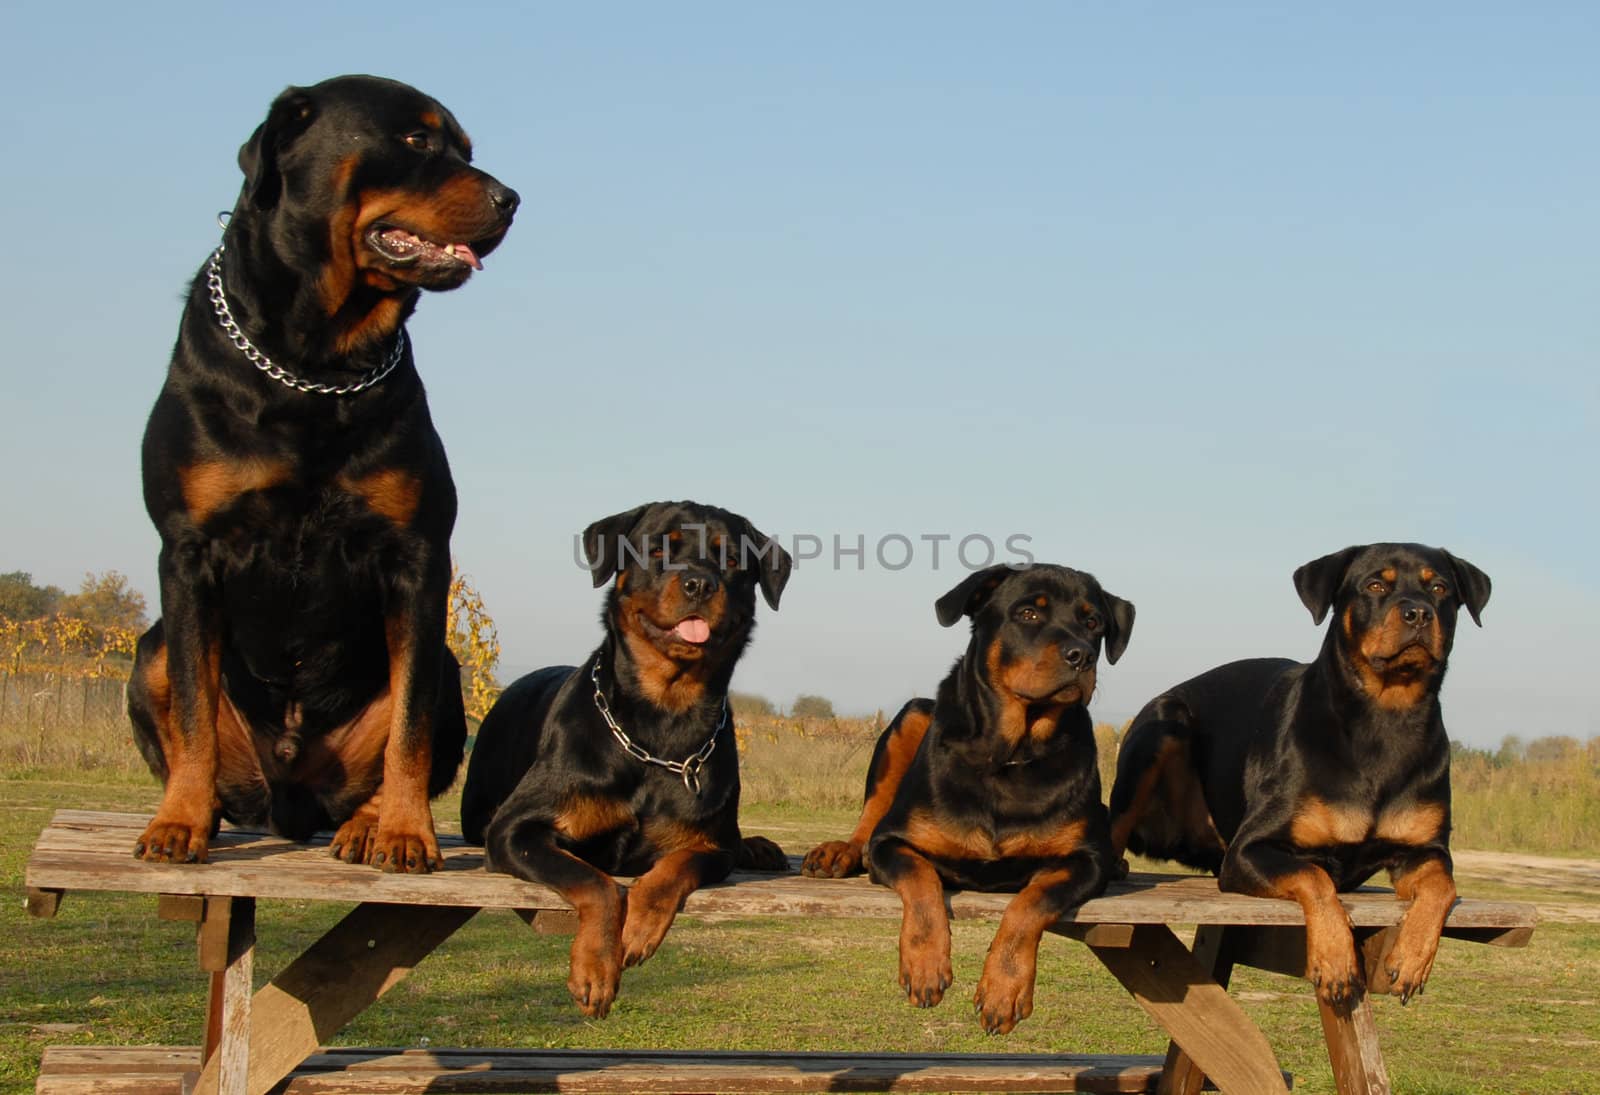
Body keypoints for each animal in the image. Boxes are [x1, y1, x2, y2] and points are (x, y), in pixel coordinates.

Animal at [132, 76, 518, 870]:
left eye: (467, 151)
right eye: (416, 140)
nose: (511, 199)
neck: (316, 363)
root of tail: (290, 804)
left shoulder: (416, 557)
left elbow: (408, 725)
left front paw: (405, 831)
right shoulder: (186, 551)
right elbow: (192, 708)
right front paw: (177, 822)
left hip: (448, 671)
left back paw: (367, 825)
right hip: (147, 650)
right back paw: (202, 810)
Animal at [460, 502, 790, 1018]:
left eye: (733, 559)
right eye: (657, 549)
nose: (699, 583)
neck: (661, 724)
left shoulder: (714, 845)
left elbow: (675, 867)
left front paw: (637, 928)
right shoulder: (514, 831)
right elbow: (594, 880)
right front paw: (596, 968)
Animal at [796, 563, 1126, 1037]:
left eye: (1094, 622)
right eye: (1028, 613)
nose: (1081, 655)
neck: (1013, 752)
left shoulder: (1085, 859)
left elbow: (1031, 902)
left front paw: (1004, 989)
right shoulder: (892, 842)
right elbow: (920, 878)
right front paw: (925, 964)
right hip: (912, 715)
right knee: (871, 813)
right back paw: (839, 852)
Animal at [1113, 544, 1484, 1005]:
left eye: (1440, 589)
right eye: (1375, 585)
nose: (1418, 612)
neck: (1385, 717)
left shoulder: (1425, 848)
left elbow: (1442, 886)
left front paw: (1413, 958)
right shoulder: (1249, 850)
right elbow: (1315, 876)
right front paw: (1336, 960)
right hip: (1161, 728)